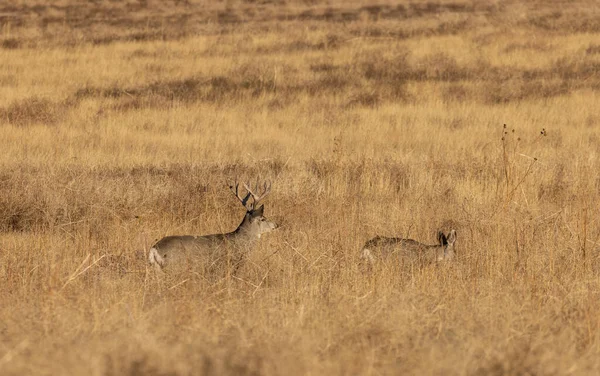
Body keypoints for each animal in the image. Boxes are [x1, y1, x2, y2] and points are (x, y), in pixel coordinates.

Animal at [149, 180, 280, 274]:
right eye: (263, 218)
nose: (276, 225)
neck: (239, 241)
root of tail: (154, 249)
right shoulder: (224, 265)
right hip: (175, 266)